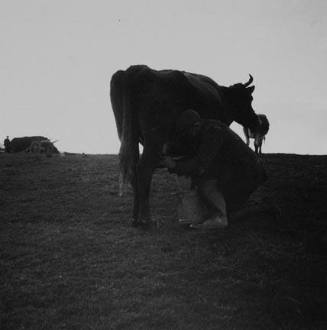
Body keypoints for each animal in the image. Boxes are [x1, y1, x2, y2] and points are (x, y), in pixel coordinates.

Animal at [111, 65, 262, 227]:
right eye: (249, 99)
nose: (256, 121)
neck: (222, 97)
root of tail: (139, 70)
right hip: (154, 139)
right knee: (144, 169)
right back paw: (147, 219)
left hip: (127, 135)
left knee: (133, 169)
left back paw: (135, 218)